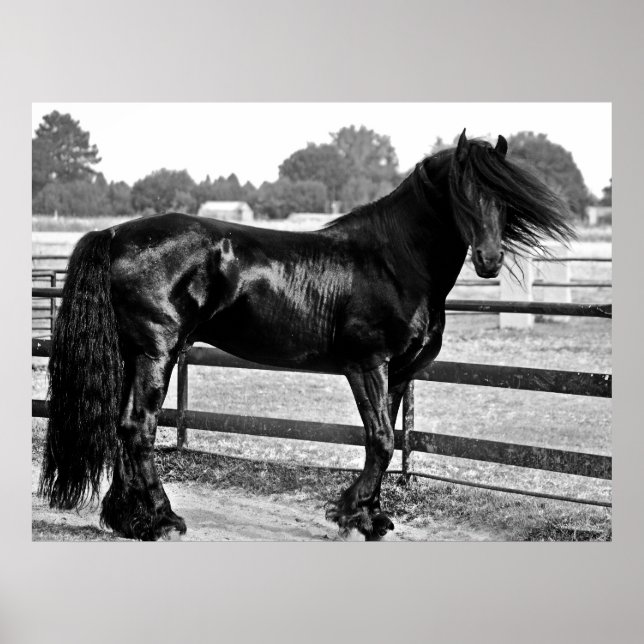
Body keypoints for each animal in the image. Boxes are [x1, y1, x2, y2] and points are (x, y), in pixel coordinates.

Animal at [38, 130, 573, 541]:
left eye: (504, 198)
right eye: (460, 192)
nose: (489, 260)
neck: (394, 260)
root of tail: (114, 234)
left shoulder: (398, 373)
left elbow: (383, 443)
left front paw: (369, 516)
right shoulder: (366, 365)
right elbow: (381, 439)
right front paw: (350, 516)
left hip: (135, 354)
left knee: (124, 425)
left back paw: (129, 520)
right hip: (157, 351)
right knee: (140, 427)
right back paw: (162, 520)